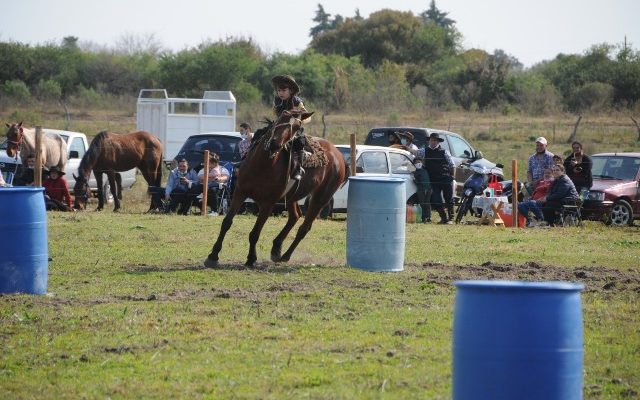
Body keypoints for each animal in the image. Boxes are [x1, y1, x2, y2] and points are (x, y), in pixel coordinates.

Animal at [205, 109, 348, 268]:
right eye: (280, 119)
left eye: (297, 127)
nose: (274, 144)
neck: (262, 165)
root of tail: (339, 156)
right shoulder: (239, 193)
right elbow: (226, 223)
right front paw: (213, 256)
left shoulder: (268, 203)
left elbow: (255, 233)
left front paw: (251, 258)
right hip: (292, 196)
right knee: (295, 216)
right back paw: (276, 248)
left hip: (321, 198)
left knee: (304, 227)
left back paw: (285, 255)